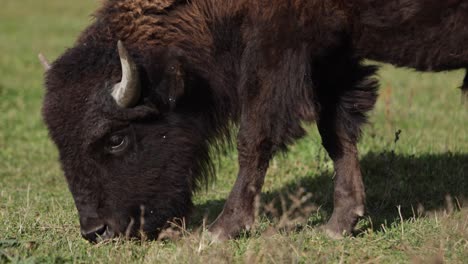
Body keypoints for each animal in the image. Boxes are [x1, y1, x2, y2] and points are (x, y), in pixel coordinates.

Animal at [43, 0, 468, 243]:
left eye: (116, 138)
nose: (96, 232)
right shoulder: (331, 56)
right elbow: (336, 135)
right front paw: (339, 224)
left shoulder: (276, 49)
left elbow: (254, 138)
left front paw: (221, 230)